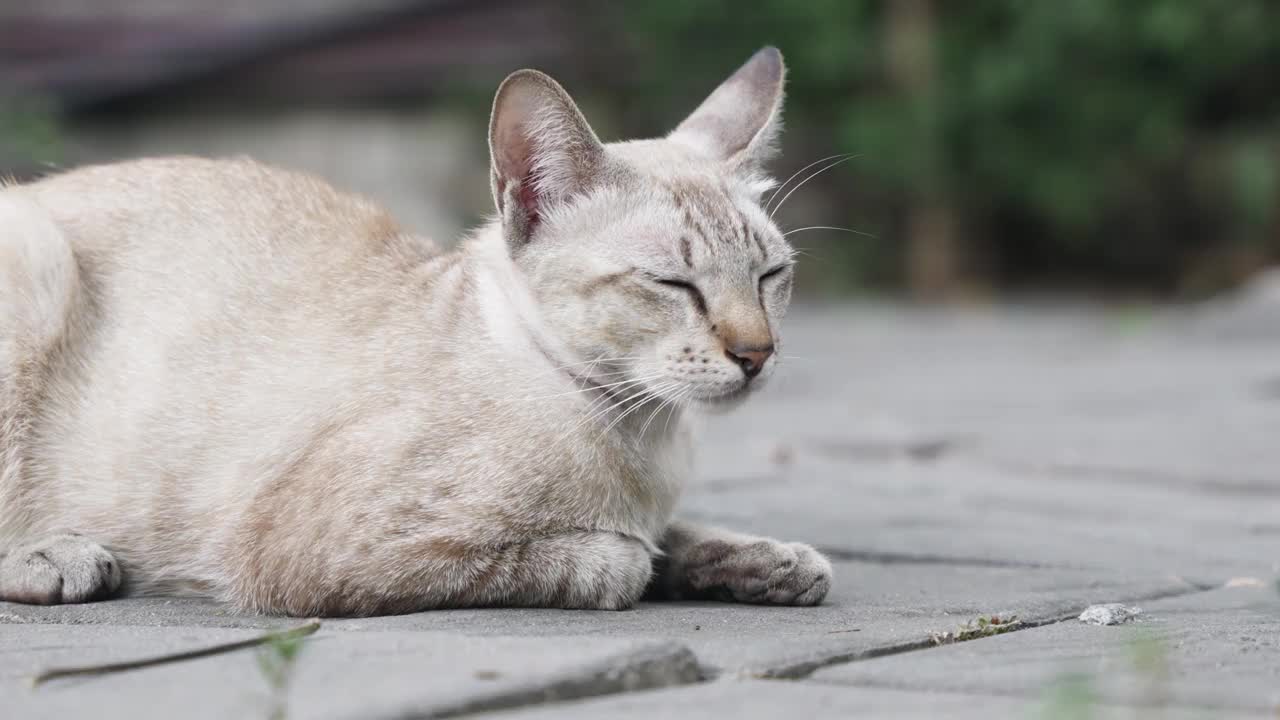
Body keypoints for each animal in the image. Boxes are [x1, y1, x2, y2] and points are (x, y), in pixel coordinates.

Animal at [0, 47, 829, 614]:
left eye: (769, 276)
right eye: (673, 285)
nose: (757, 353)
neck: (645, 437)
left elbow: (680, 533)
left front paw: (770, 563)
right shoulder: (310, 553)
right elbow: (612, 560)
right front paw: (641, 561)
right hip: (38, 266)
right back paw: (57, 558)